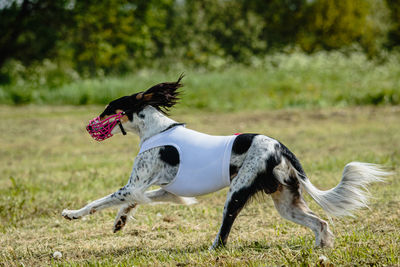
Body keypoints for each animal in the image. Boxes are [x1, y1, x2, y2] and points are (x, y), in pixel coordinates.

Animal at [62, 76, 390, 250]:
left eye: (108, 108)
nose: (90, 123)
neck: (156, 130)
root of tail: (280, 147)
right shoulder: (164, 191)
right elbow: (136, 202)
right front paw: (120, 220)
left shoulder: (133, 185)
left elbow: (98, 202)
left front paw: (72, 213)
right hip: (286, 203)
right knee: (320, 222)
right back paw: (320, 248)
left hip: (236, 194)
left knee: (223, 235)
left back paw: (210, 250)